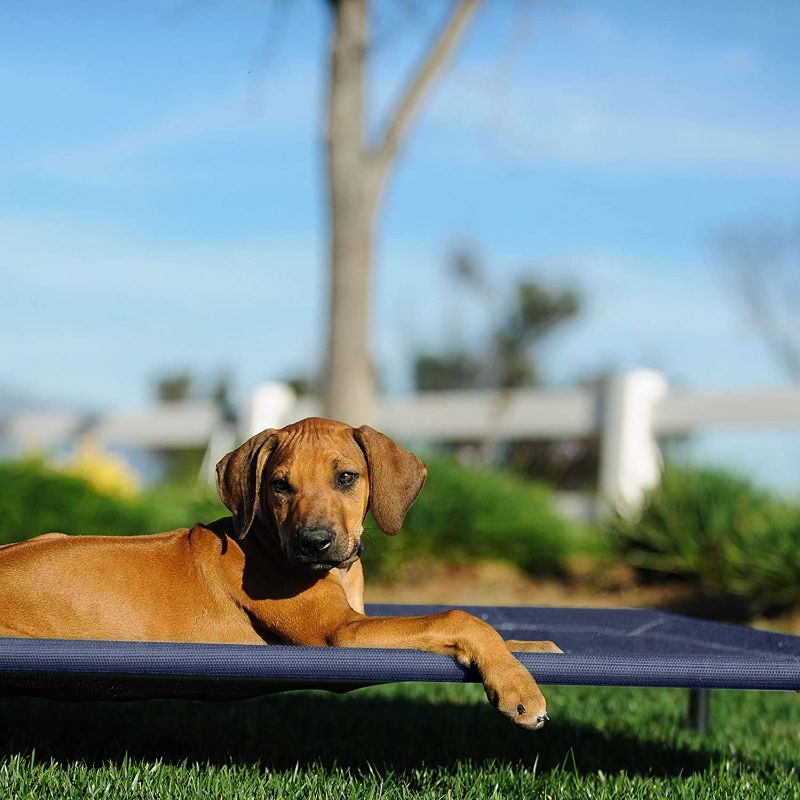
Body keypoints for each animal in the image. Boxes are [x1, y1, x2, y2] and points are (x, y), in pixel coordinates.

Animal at [0, 418, 560, 732]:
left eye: (346, 477)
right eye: (279, 485)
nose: (314, 543)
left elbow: (472, 629)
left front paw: (529, 648)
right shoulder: (341, 634)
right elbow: (459, 616)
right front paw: (519, 689)